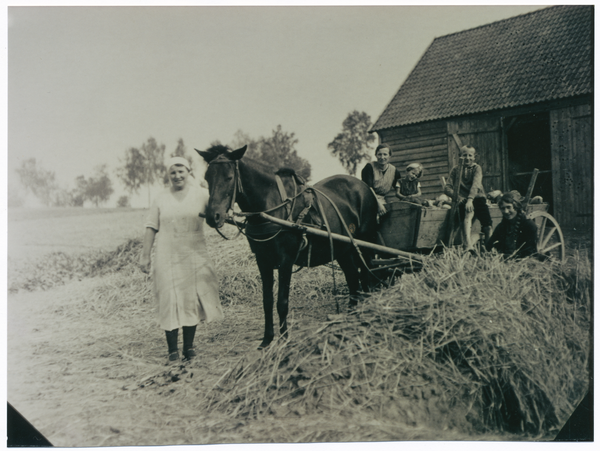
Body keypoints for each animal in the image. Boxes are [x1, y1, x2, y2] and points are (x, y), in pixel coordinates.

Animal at [199, 146, 378, 350]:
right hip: (344, 249)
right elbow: (267, 300)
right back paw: (350, 317)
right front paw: (267, 339)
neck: (272, 208)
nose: (213, 217)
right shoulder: (263, 260)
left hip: (365, 243)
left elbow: (282, 302)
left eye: (229, 177)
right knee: (353, 278)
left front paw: (284, 339)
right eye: (207, 177)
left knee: (366, 275)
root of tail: (363, 186)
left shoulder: (286, 260)